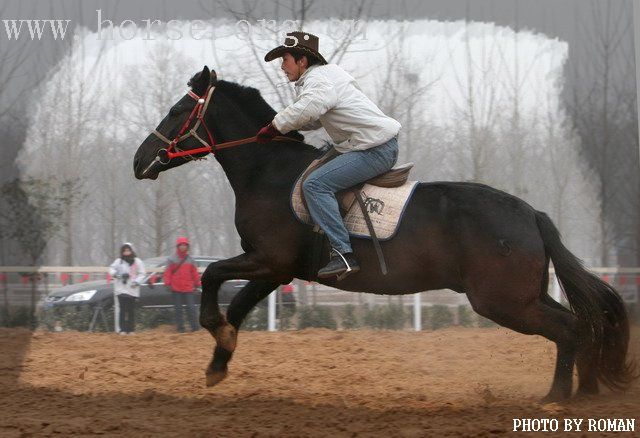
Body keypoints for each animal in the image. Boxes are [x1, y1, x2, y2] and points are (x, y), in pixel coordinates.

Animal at [132, 66, 632, 402]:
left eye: (178, 110)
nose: (139, 161)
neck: (267, 172)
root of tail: (531, 213)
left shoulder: (269, 261)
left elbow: (212, 276)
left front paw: (214, 331)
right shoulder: (277, 270)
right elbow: (236, 305)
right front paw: (219, 359)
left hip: (503, 300)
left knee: (569, 328)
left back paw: (559, 397)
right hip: (524, 295)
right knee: (582, 325)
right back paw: (586, 391)